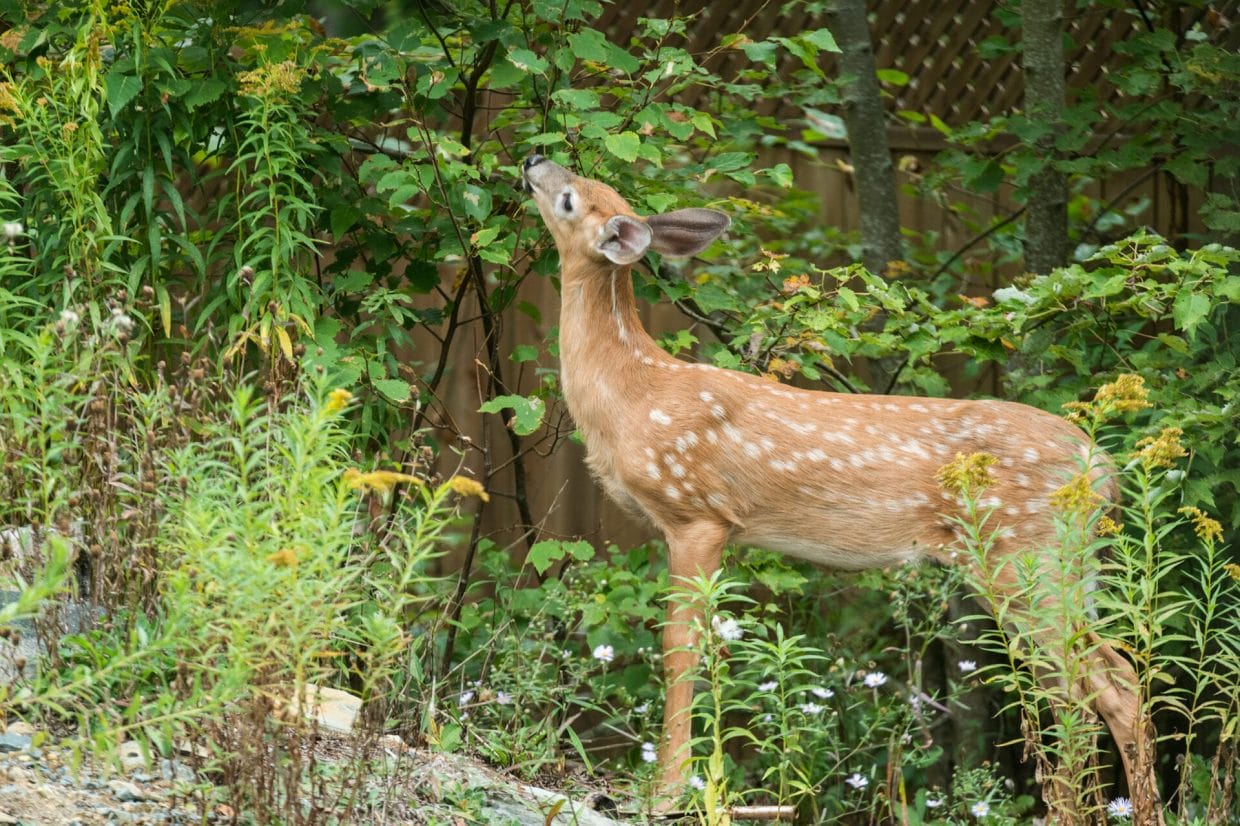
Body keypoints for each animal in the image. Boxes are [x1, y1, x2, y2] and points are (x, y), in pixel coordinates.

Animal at [519, 153, 1161, 823]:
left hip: (1024, 556)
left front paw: (668, 793)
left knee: (1086, 689)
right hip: (1067, 565)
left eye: (569, 200)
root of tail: (1102, 467)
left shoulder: (697, 514)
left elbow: (680, 650)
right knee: (1115, 678)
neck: (632, 393)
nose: (534, 160)